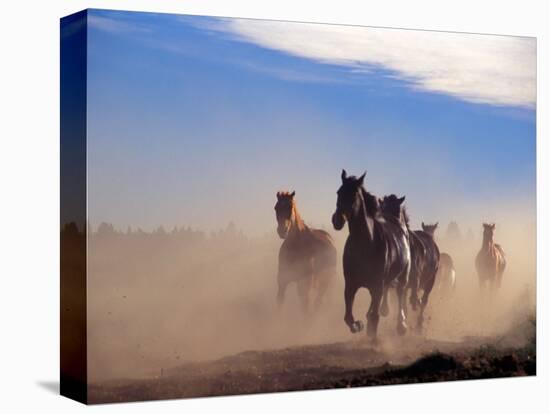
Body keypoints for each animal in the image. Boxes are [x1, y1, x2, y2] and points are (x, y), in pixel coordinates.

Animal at [332, 172, 410, 340]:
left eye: (354, 194)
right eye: (338, 192)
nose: (337, 220)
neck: (365, 244)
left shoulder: (378, 284)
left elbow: (375, 315)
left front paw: (372, 336)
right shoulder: (351, 283)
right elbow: (348, 316)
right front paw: (358, 325)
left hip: (402, 277)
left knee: (400, 294)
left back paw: (401, 325)